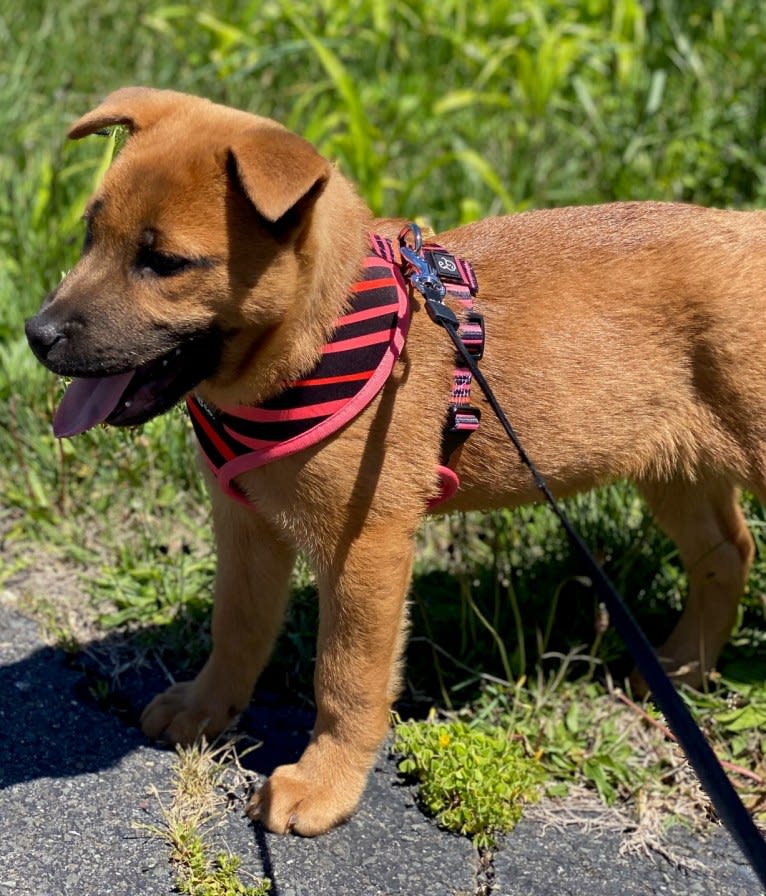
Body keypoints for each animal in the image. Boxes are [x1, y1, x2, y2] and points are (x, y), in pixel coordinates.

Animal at [27, 87, 764, 836]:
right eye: (89, 235)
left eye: (166, 263)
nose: (36, 334)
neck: (312, 339)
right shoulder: (246, 526)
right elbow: (235, 628)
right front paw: (206, 708)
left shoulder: (365, 547)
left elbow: (345, 676)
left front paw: (324, 783)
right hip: (675, 471)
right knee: (728, 553)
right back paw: (683, 668)